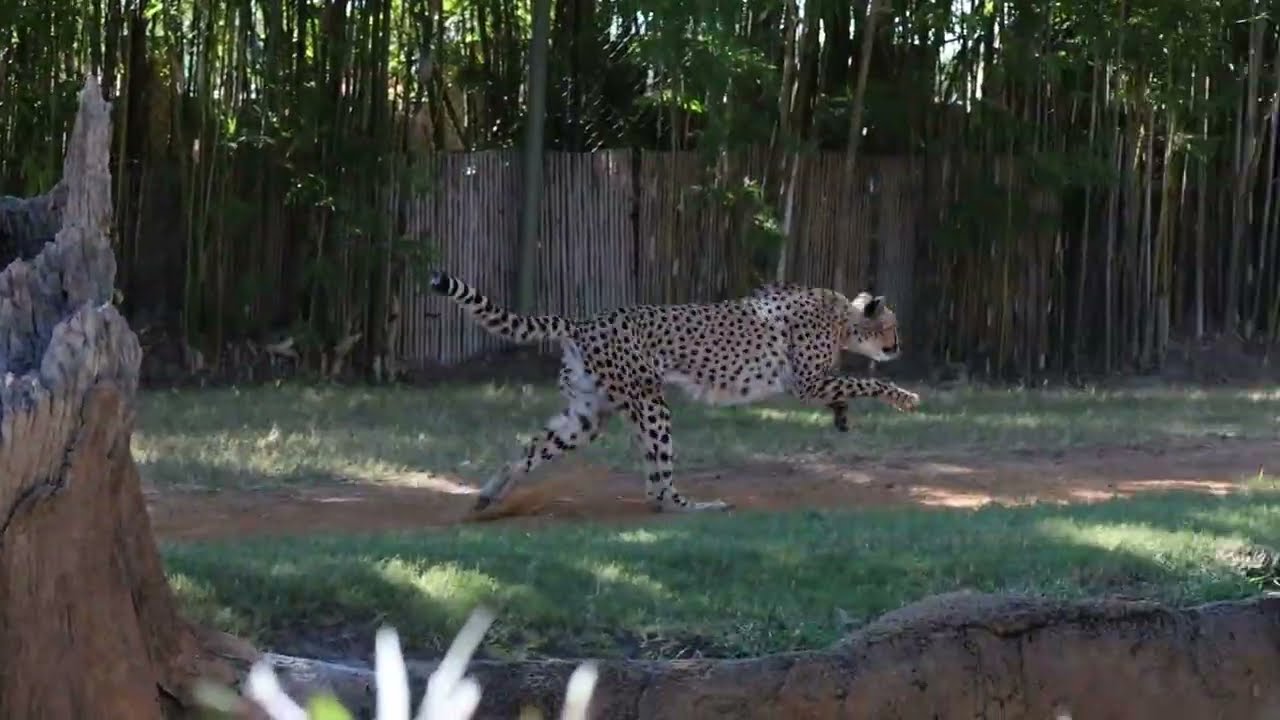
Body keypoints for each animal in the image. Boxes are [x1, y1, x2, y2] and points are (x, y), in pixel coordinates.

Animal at [429, 271, 922, 514]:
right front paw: (904, 398)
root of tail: (585, 320)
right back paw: (694, 506)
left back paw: (492, 492)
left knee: (532, 449)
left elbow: (848, 387)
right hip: (650, 404)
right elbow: (868, 381)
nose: (899, 345)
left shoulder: (811, 382)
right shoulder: (805, 382)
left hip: (587, 416)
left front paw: (841, 416)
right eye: (893, 326)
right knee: (658, 490)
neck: (842, 317)